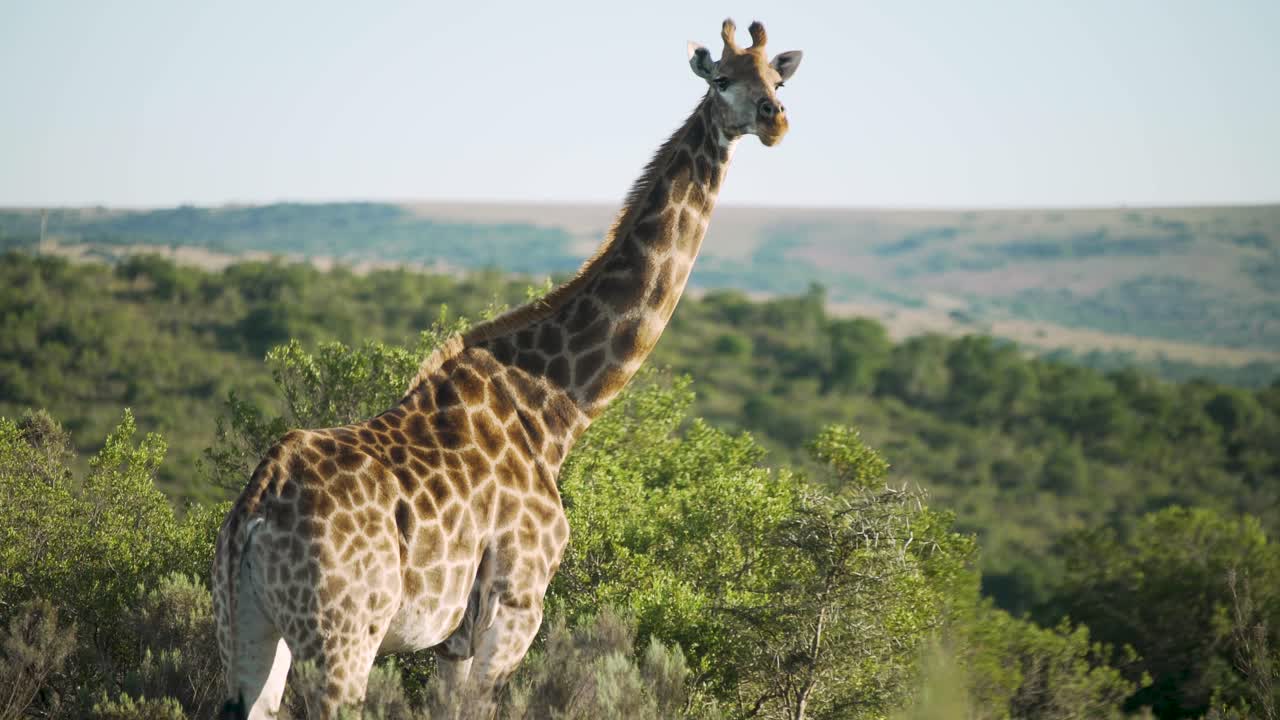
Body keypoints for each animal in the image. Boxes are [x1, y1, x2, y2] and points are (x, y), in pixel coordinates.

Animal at [212, 18, 802, 719]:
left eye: (777, 82)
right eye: (722, 80)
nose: (774, 121)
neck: (559, 406)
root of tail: (254, 508)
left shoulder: (452, 639)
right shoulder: (518, 602)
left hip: (247, 627)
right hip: (341, 638)